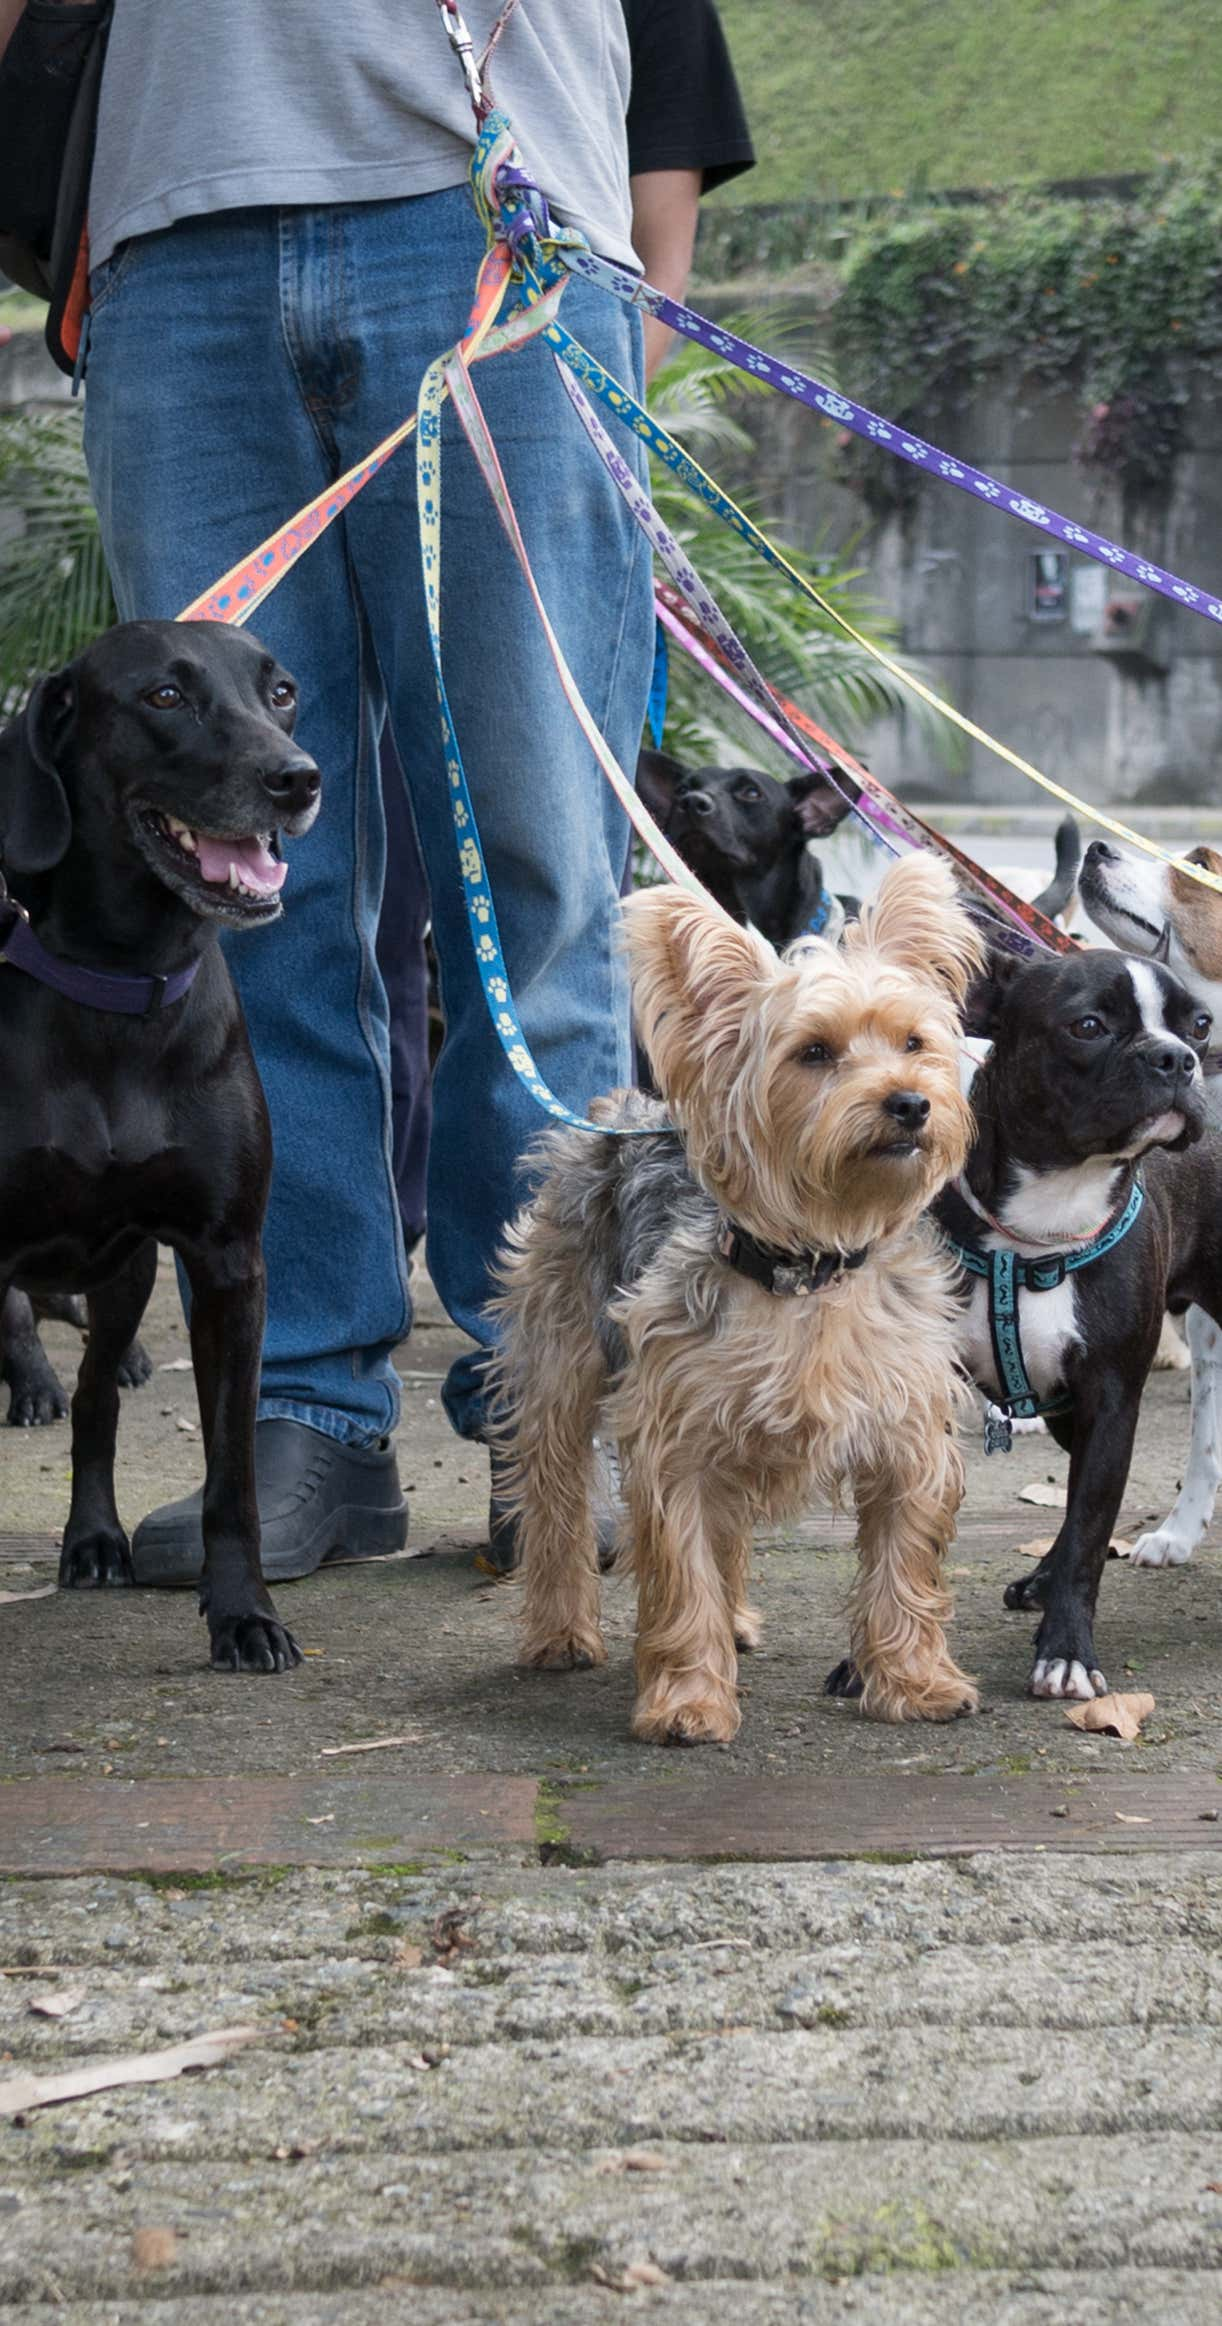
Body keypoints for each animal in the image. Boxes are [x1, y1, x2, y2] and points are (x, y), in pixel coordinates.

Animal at [0, 618, 318, 1674]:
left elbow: (233, 1478)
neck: (119, 984)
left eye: (282, 692)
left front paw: (244, 1616)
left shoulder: (225, 1263)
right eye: (165, 697)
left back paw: (96, 1539)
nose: (297, 779)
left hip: (127, 1274)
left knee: (97, 1396)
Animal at [931, 935, 1210, 1702]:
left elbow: (1090, 1529)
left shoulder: (1112, 1398)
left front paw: (1067, 1653)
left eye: (1199, 1024)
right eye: (1088, 1026)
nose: (1178, 1057)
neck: (1044, 1226)